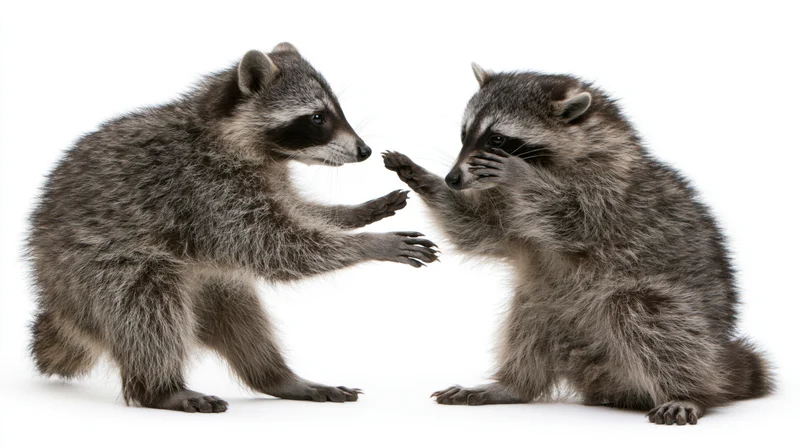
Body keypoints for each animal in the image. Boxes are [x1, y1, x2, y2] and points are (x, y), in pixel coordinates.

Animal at [27, 42, 439, 413]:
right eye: (318, 118)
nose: (364, 151)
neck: (235, 139)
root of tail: (55, 297)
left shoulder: (266, 178)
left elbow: (298, 213)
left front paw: (353, 213)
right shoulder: (205, 188)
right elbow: (278, 247)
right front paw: (370, 244)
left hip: (208, 279)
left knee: (243, 320)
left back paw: (275, 376)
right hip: (94, 264)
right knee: (147, 309)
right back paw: (160, 388)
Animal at [384, 64, 772, 425]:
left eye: (497, 139)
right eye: (465, 134)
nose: (452, 178)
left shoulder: (612, 193)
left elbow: (575, 219)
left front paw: (520, 174)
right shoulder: (509, 216)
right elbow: (474, 228)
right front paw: (427, 180)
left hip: (683, 320)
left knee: (647, 315)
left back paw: (688, 391)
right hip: (553, 308)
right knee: (528, 318)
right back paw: (512, 384)